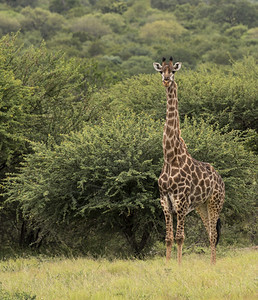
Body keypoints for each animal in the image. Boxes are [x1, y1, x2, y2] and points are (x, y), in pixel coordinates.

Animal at [153, 57, 224, 264]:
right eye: (161, 71)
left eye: (173, 71)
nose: (166, 80)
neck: (170, 156)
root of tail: (221, 180)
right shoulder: (165, 200)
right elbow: (168, 238)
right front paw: (167, 265)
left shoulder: (182, 200)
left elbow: (180, 237)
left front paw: (178, 266)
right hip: (202, 206)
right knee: (210, 233)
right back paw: (211, 264)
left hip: (215, 202)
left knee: (213, 235)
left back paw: (213, 265)